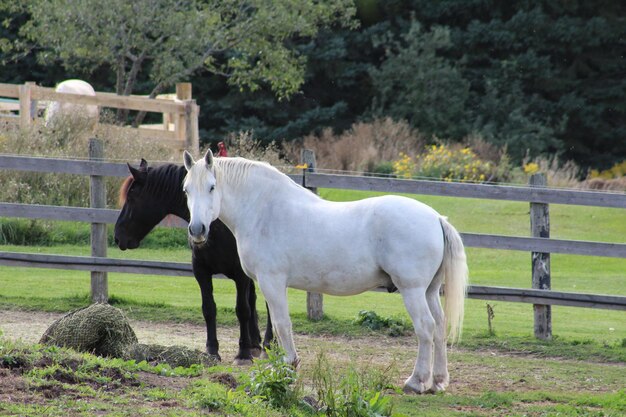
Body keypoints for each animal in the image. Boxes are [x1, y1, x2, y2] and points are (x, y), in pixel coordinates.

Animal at [114, 158, 270, 362]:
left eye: (131, 197)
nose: (118, 236)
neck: (217, 226)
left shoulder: (240, 275)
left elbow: (242, 309)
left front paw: (242, 354)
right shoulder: (201, 271)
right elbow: (209, 309)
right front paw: (212, 350)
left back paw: (267, 344)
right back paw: (255, 343)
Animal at [179, 150, 464, 394]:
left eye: (212, 187)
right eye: (186, 189)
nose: (197, 230)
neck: (264, 211)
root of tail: (436, 218)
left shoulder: (272, 282)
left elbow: (282, 324)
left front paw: (288, 366)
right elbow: (277, 325)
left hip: (412, 290)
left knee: (425, 327)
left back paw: (416, 381)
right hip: (429, 291)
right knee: (439, 326)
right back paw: (438, 381)